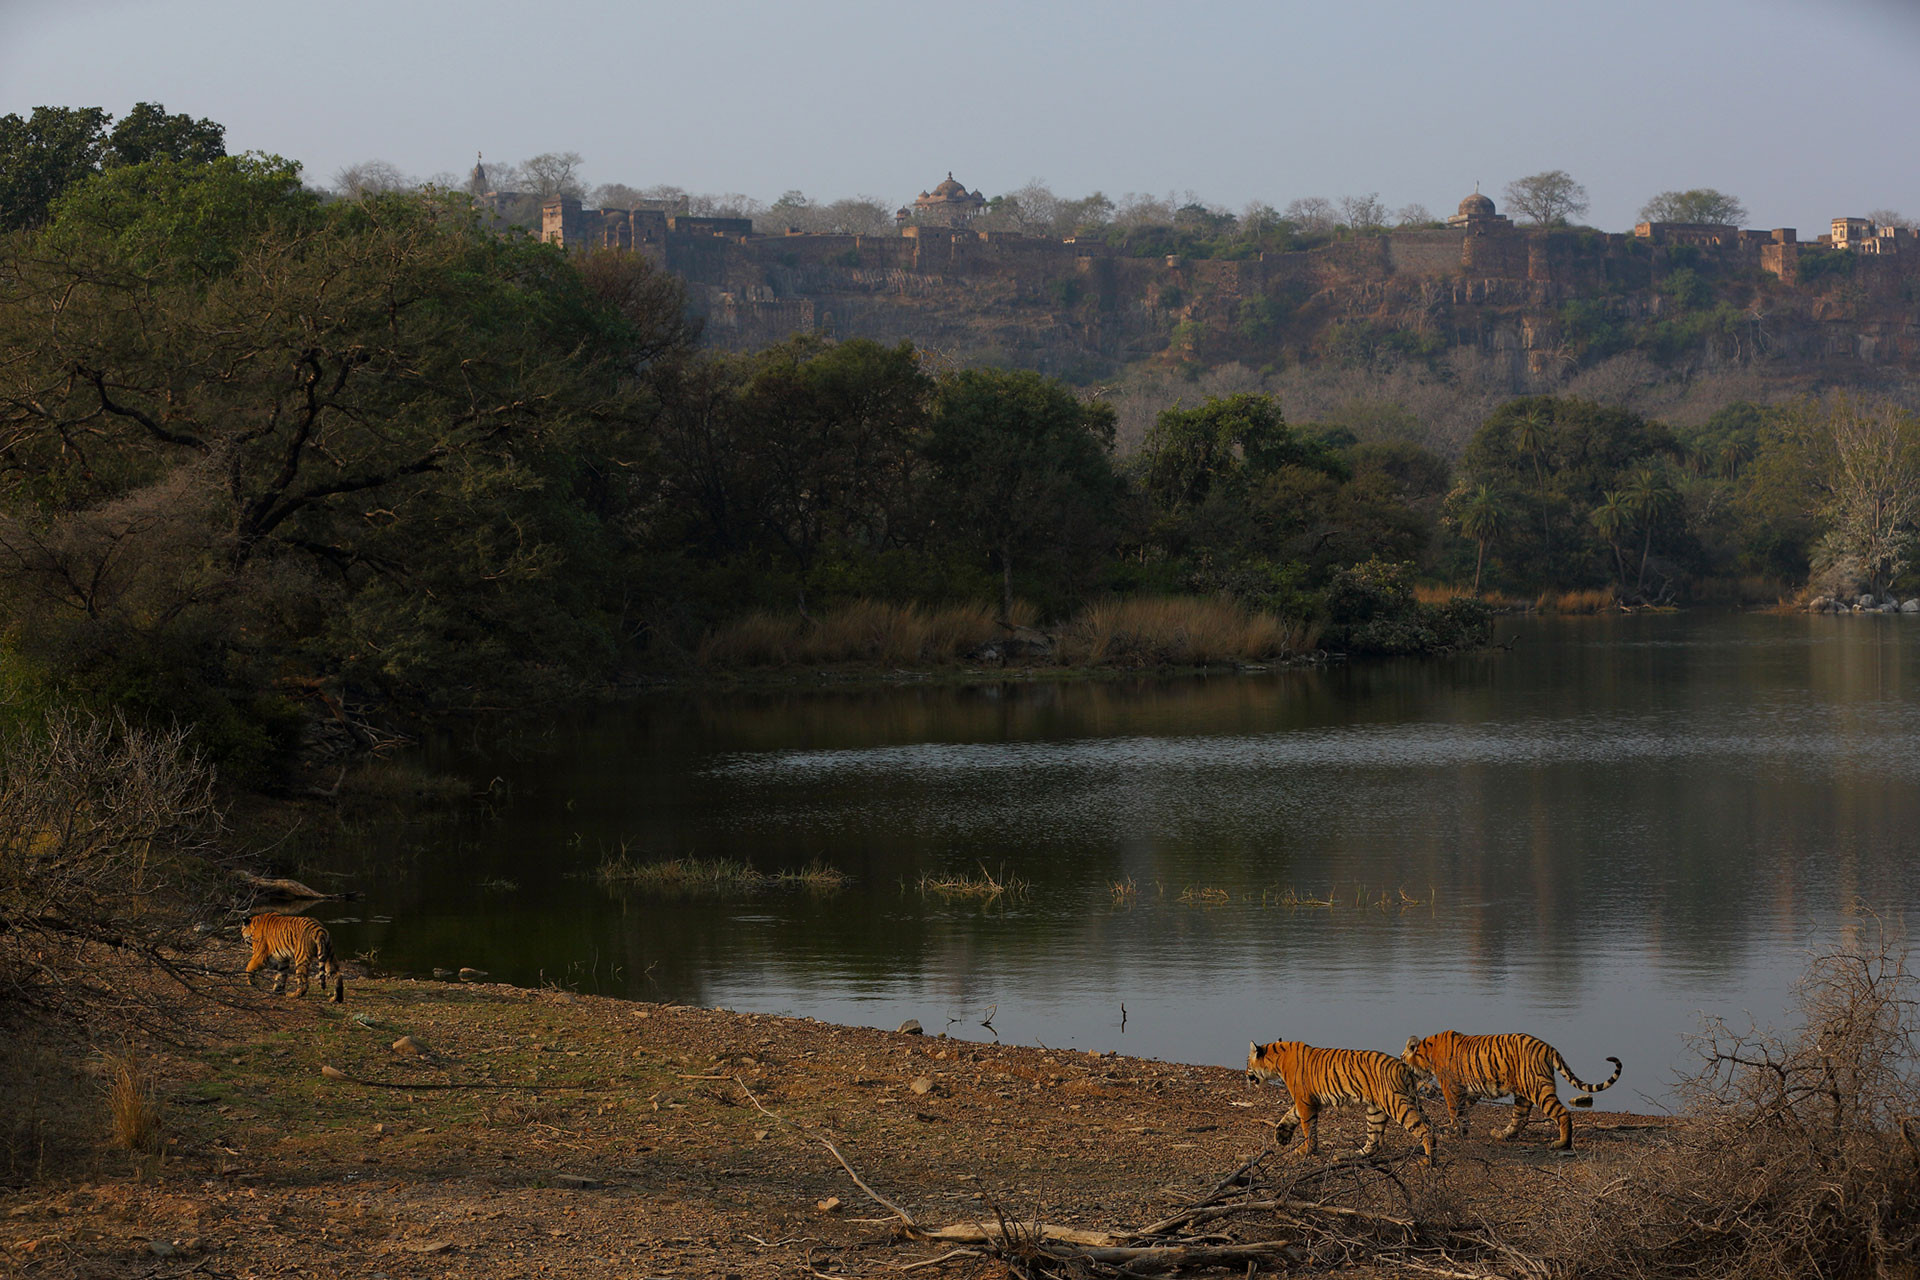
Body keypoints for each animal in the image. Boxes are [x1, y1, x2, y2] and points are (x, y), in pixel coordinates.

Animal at [1246, 1040, 1435, 1164]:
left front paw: (1306, 1150)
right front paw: (1282, 1135)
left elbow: (1307, 1127)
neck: (1277, 1061)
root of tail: (1404, 1067)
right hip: (1376, 1110)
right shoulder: (1309, 1101)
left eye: (1247, 1063)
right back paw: (1351, 1154)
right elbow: (1291, 1114)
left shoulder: (1304, 1100)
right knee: (1373, 1141)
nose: (1246, 1074)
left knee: (1425, 1129)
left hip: (1396, 1103)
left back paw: (1429, 1158)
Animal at [1401, 1031, 1621, 1151]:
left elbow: (1455, 1111)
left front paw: (1454, 1132)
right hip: (1524, 1093)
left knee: (1562, 1113)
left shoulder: (1451, 1087)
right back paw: (1501, 1135)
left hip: (1538, 1088)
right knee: (1520, 1118)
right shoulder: (1470, 1090)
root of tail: (1548, 1047)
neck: (1427, 1053)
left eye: (1402, 1058)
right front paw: (1460, 1129)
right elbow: (1463, 1111)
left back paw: (1561, 1143)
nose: (1400, 1063)